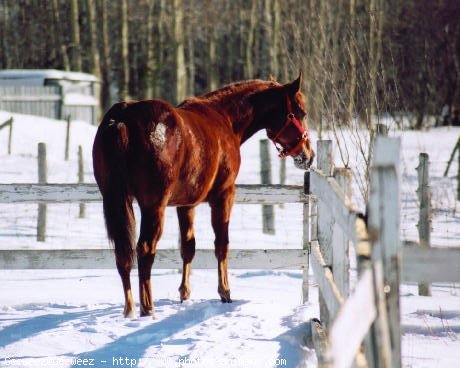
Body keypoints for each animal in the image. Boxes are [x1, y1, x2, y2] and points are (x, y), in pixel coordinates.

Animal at [91, 73, 314, 318]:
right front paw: (225, 292)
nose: (308, 155)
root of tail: (123, 119)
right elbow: (222, 245)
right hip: (153, 207)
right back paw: (147, 309)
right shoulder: (224, 195)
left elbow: (188, 247)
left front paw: (185, 294)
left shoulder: (186, 204)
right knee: (145, 250)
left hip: (115, 201)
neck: (224, 119)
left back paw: (129, 309)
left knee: (123, 253)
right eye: (302, 112)